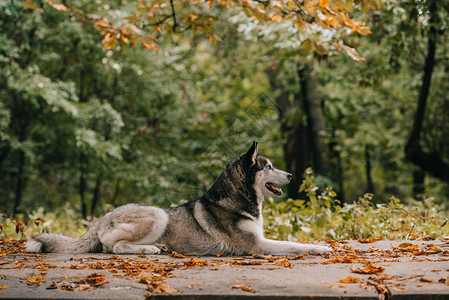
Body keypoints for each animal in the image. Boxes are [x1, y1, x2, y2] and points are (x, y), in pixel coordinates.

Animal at [27, 143, 328, 255]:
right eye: (269, 167)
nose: (290, 175)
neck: (235, 200)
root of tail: (104, 216)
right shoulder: (257, 245)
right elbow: (295, 245)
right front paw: (321, 249)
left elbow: (296, 242)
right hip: (157, 215)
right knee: (114, 246)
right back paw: (149, 250)